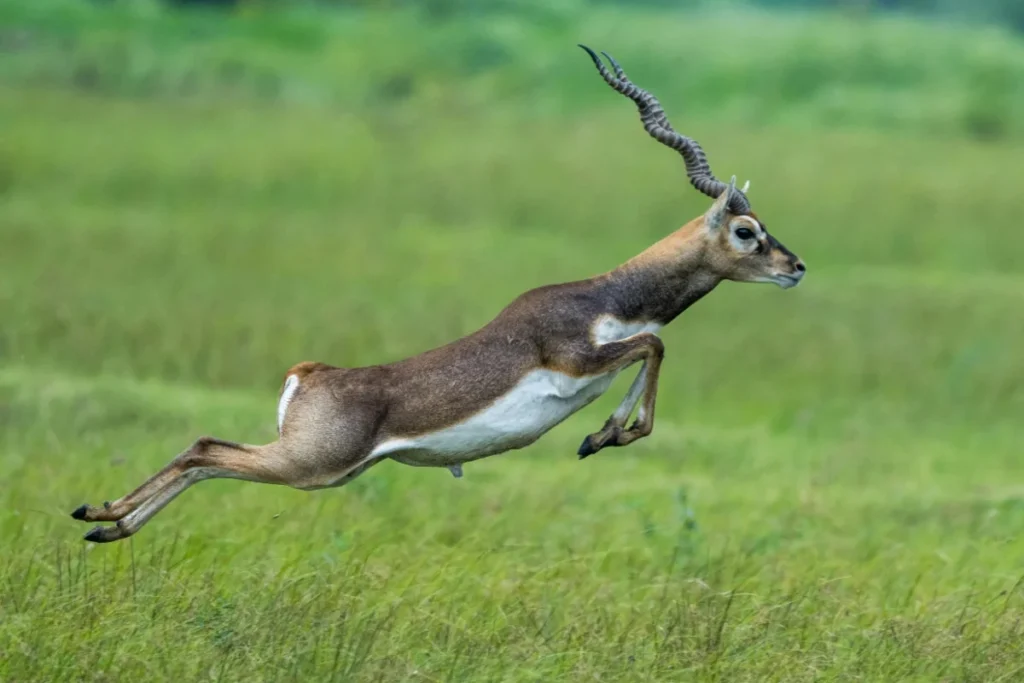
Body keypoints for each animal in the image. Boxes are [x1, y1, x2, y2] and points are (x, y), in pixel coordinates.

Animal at [71, 46, 805, 543]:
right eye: (746, 231)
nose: (796, 265)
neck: (609, 295)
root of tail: (309, 373)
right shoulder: (576, 356)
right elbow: (653, 345)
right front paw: (608, 434)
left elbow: (649, 350)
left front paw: (601, 436)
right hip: (312, 465)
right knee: (204, 447)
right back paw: (102, 514)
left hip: (322, 470)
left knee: (205, 456)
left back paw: (104, 523)